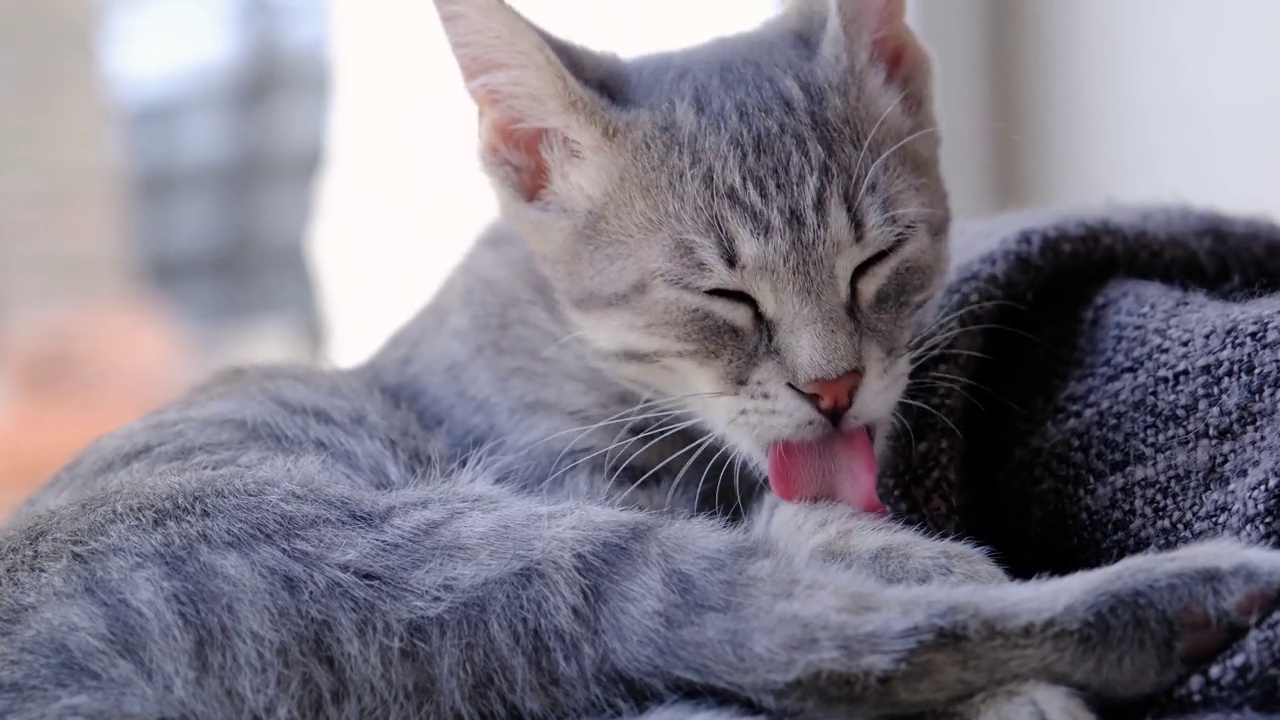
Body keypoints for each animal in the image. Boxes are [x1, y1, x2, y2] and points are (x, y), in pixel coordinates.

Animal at [2, 0, 1280, 712]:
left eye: (876, 259)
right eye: (720, 296)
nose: (831, 387)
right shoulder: (572, 485)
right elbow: (828, 555)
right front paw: (924, 566)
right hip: (450, 553)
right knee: (805, 643)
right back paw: (1173, 601)